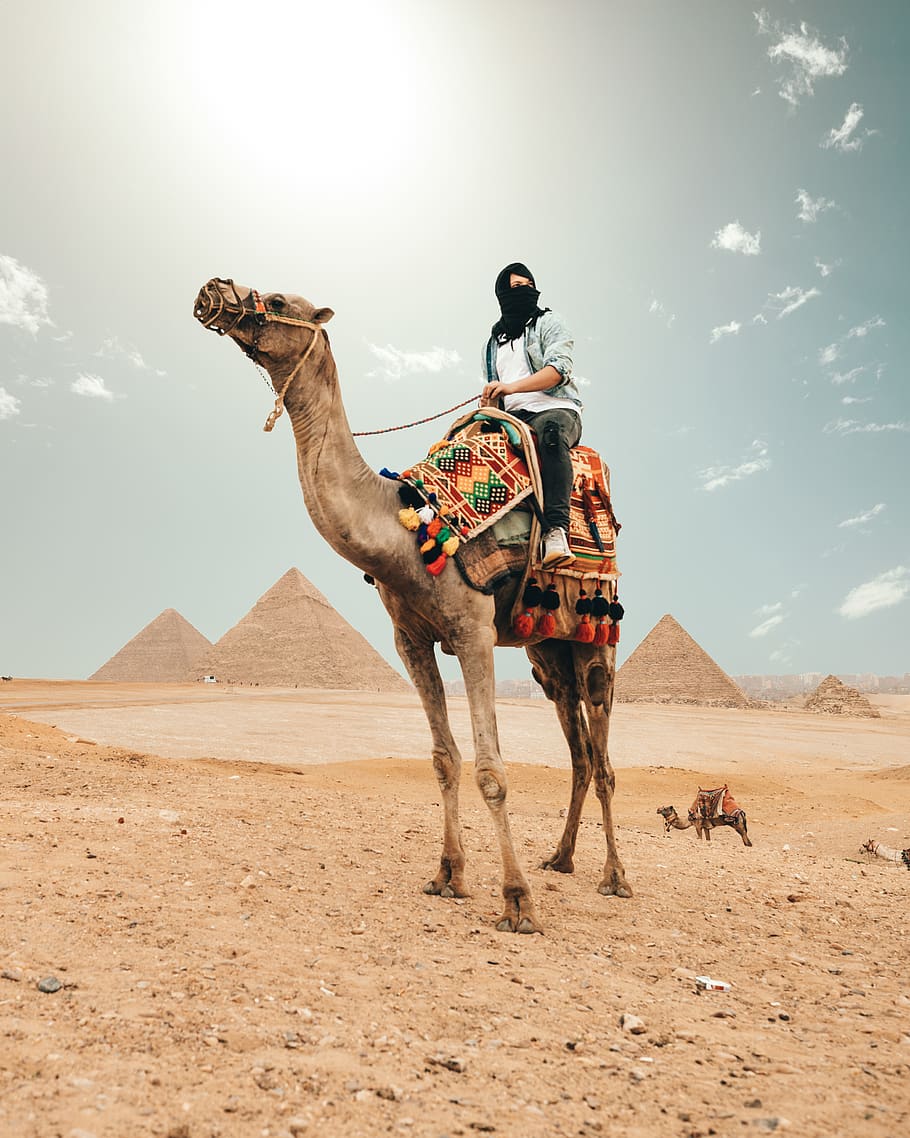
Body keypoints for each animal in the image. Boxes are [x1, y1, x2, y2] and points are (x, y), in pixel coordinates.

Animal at [193, 278, 631, 934]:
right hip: (546, 649)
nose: (214, 290)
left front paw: (517, 903)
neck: (402, 528)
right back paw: (561, 858)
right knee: (578, 754)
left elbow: (491, 770)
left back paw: (614, 877)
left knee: (602, 760)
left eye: (277, 300)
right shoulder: (411, 639)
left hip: (594, 638)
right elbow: (444, 759)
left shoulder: (473, 631)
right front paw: (449, 876)